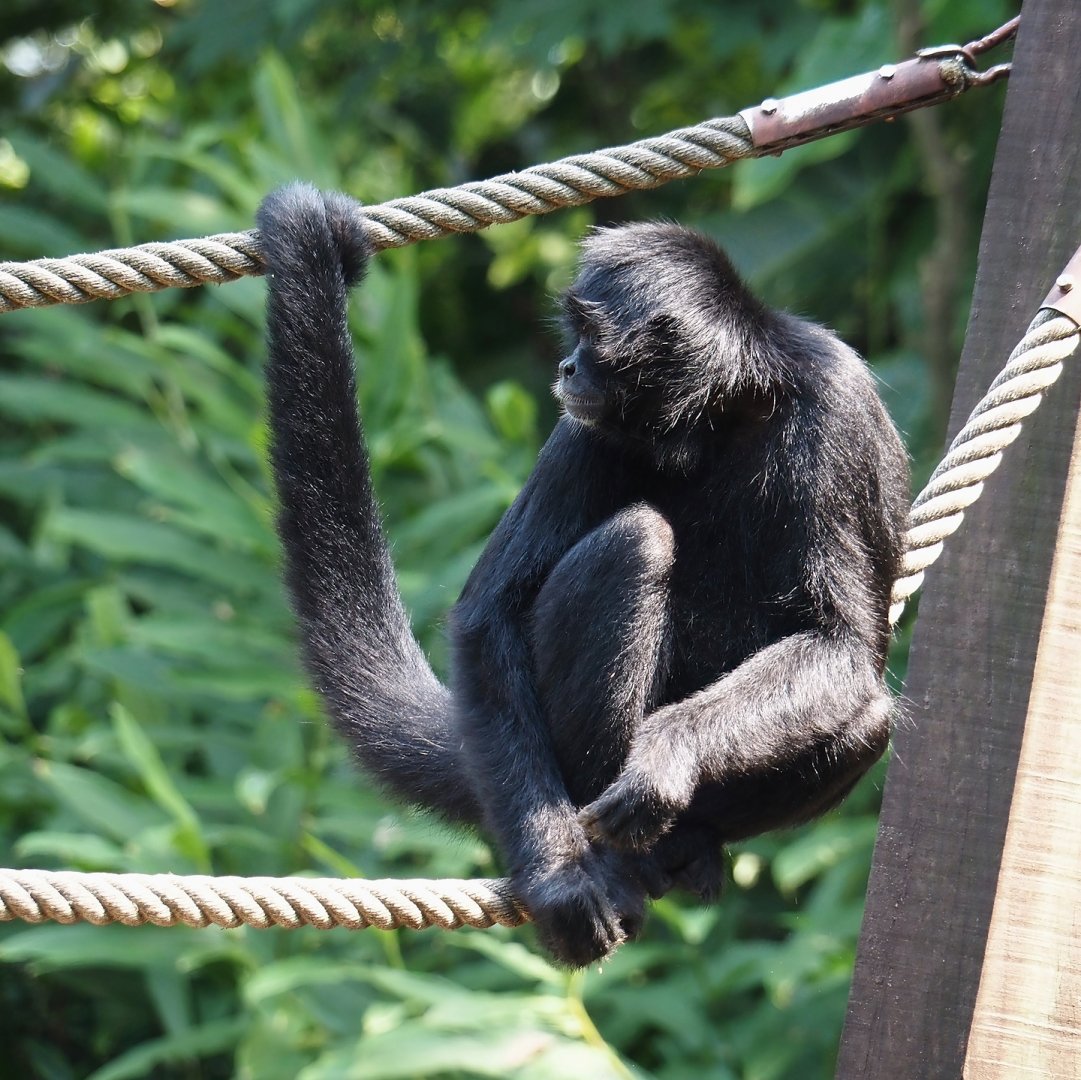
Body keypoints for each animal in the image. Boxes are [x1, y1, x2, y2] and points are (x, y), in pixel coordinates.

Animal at [257, 183, 910, 968]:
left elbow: (842, 647)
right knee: (635, 542)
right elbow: (488, 616)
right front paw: (562, 881)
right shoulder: (588, 424)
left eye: (589, 342)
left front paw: (667, 753)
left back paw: (685, 844)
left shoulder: (836, 405)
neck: (720, 419)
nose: (566, 368)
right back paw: (610, 862)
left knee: (867, 718)